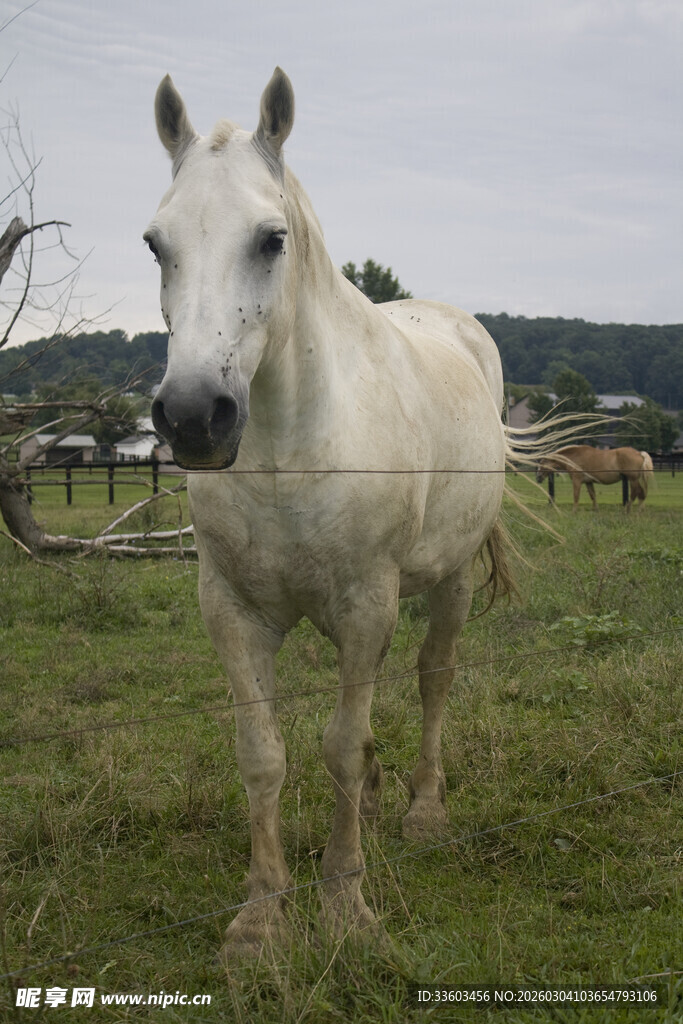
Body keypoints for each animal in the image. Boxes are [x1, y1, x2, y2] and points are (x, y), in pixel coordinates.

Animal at [145, 68, 511, 958]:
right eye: (155, 244)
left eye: (270, 239)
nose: (194, 416)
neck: (293, 447)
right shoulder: (233, 612)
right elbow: (263, 754)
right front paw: (259, 916)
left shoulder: (364, 602)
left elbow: (340, 746)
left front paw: (345, 903)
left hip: (447, 580)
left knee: (432, 677)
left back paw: (421, 809)